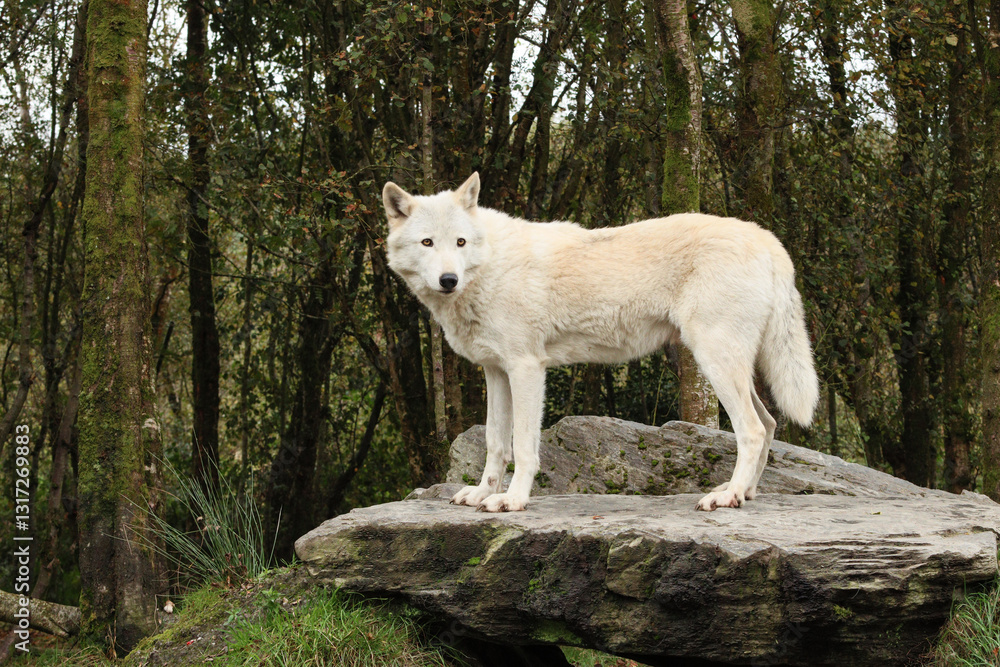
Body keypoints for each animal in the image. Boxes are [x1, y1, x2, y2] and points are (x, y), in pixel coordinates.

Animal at [382, 173, 819, 512]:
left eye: (459, 243)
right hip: (731, 366)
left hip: (715, 362)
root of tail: (767, 238)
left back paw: (727, 497)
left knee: (753, 430)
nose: (448, 280)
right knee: (770, 423)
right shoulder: (496, 372)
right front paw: (480, 495)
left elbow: (522, 446)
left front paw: (513, 500)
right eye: (427, 243)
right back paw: (745, 493)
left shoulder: (526, 368)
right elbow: (494, 443)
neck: (490, 265)